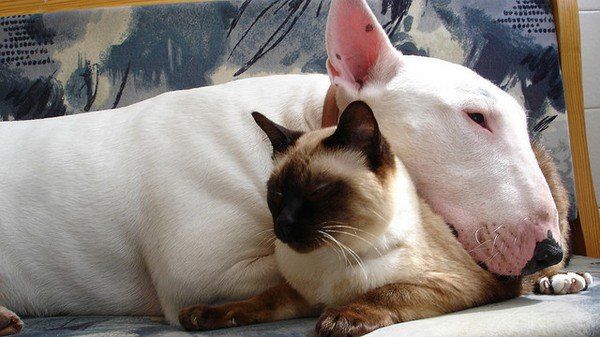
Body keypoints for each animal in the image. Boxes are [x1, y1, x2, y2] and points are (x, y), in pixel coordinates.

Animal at [177, 101, 592, 334]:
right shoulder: (301, 294)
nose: (284, 226)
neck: (333, 257)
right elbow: (256, 301)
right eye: (277, 194)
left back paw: (565, 281)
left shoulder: (454, 282)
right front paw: (203, 316)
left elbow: (385, 291)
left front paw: (339, 320)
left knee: (556, 259)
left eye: (317, 192)